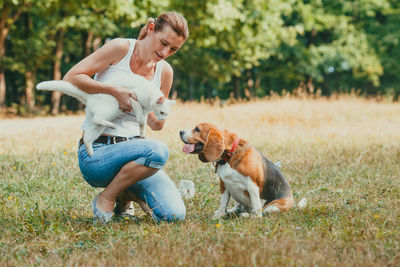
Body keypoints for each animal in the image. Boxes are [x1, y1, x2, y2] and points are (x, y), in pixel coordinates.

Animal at [37, 74, 175, 156]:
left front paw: (142, 134)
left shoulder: (145, 110)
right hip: (111, 108)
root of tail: (90, 97)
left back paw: (91, 153)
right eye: (162, 113)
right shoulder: (134, 99)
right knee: (98, 119)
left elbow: (143, 124)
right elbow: (140, 120)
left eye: (166, 114)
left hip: (98, 127)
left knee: (88, 137)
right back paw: (111, 126)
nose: (162, 119)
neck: (149, 96)